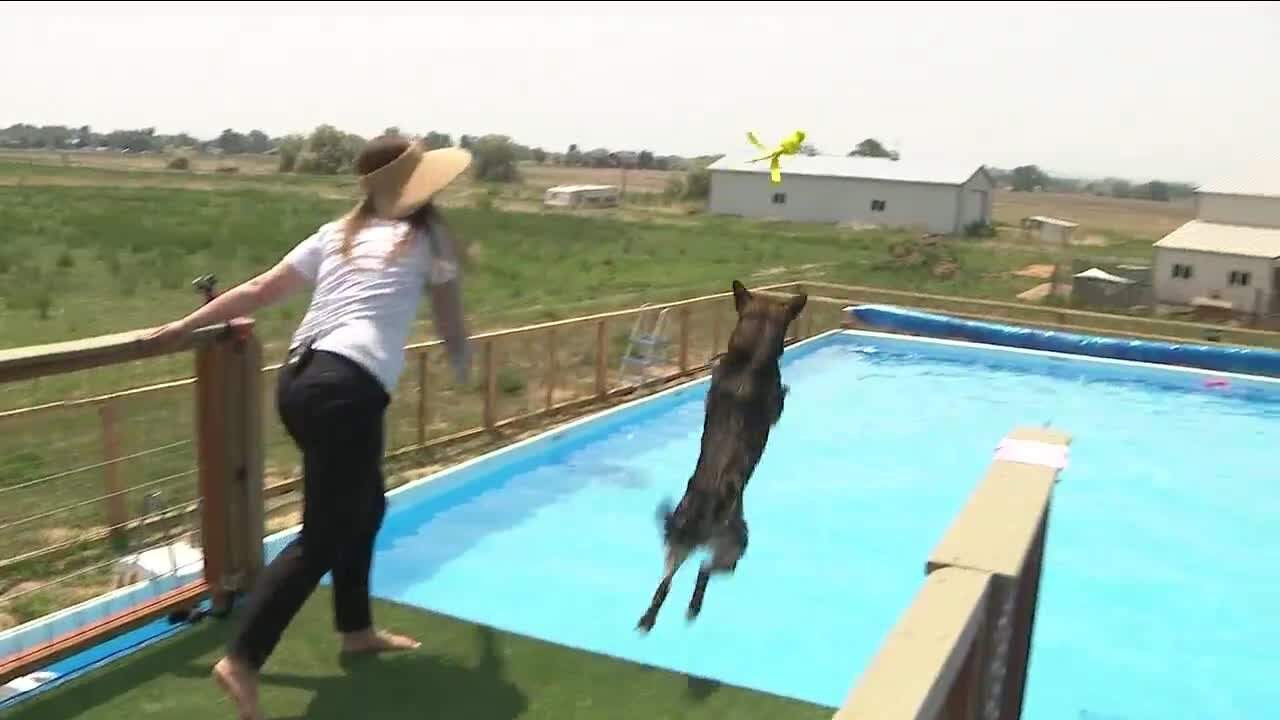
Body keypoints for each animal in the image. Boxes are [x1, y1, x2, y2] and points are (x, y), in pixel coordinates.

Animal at [634, 279, 803, 627]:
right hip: (736, 546)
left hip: (679, 545)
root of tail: (704, 514)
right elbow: (780, 400)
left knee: (666, 583)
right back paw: (694, 606)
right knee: (704, 571)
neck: (751, 358)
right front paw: (787, 388)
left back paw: (650, 619)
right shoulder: (775, 409)